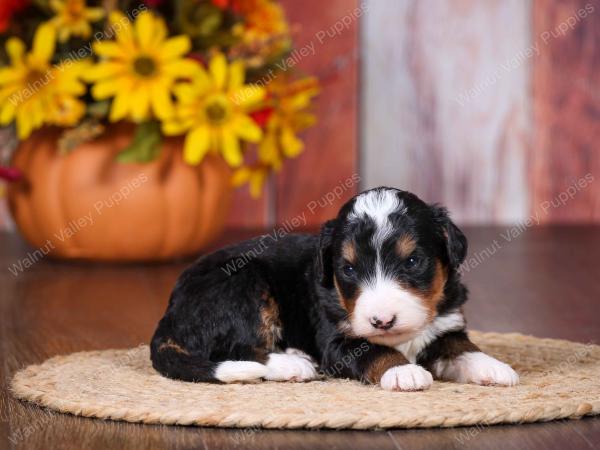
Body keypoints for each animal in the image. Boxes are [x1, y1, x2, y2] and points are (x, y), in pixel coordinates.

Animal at [148, 186, 516, 390]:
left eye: (412, 262)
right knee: (235, 348)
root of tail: (170, 314)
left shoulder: (446, 324)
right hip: (243, 285)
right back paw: (293, 364)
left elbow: (462, 348)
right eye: (348, 269)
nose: (382, 321)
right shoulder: (337, 340)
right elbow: (375, 350)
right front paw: (403, 372)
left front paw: (494, 367)